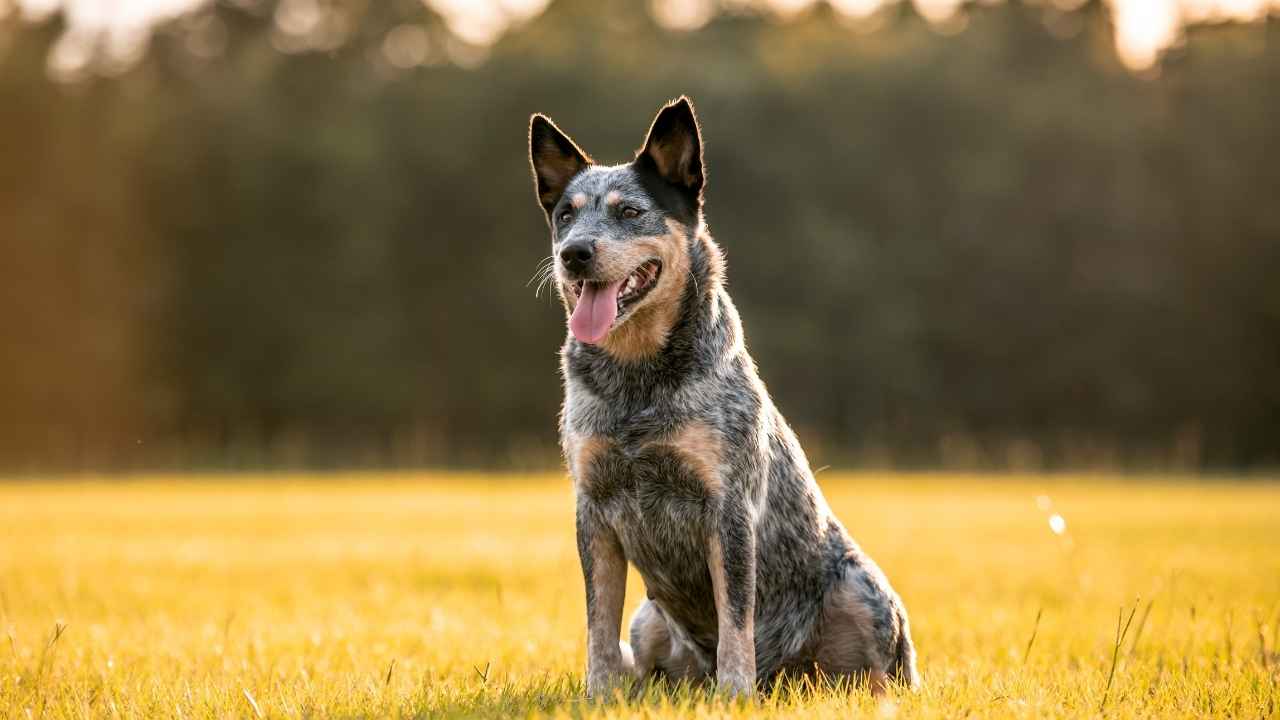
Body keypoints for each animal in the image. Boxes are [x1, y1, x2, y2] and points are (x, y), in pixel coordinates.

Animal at [529, 95, 921, 696]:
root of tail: (786, 678)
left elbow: (736, 615)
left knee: (876, 672)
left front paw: (734, 693)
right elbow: (598, 620)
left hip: (863, 591)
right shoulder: (592, 509)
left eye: (630, 212)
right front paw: (599, 694)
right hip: (649, 619)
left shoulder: (729, 505)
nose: (574, 253)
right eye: (566, 214)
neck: (637, 382)